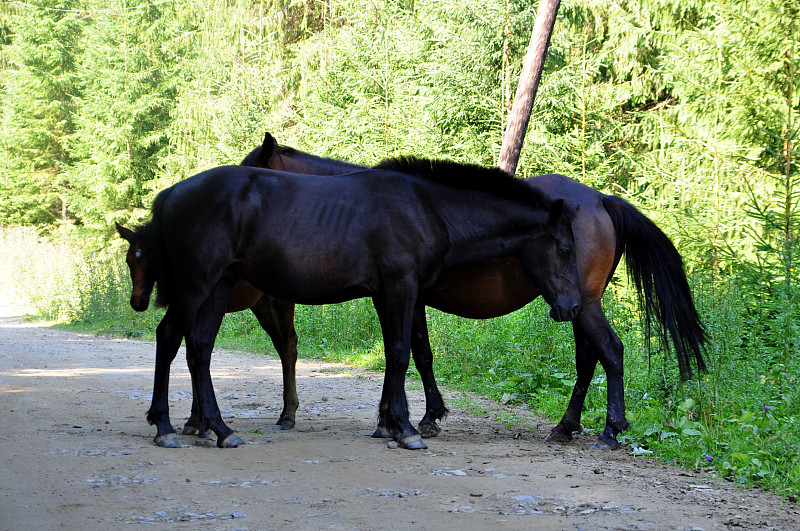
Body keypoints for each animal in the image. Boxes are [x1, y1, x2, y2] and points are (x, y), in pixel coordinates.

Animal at [119, 161, 580, 448]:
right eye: (564, 248)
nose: (573, 307)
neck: (426, 208)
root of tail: (172, 194)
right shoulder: (400, 287)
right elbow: (401, 354)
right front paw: (406, 428)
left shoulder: (388, 293)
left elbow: (397, 354)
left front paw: (390, 424)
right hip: (196, 285)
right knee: (168, 338)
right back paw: (164, 426)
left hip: (218, 287)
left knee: (199, 348)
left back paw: (219, 428)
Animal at [234, 133, 708, 448]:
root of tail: (601, 198)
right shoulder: (403, 296)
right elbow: (414, 352)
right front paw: (414, 417)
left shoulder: (402, 294)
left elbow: (408, 353)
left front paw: (407, 420)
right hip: (577, 306)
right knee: (588, 359)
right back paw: (566, 426)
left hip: (585, 303)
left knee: (609, 352)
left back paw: (609, 430)